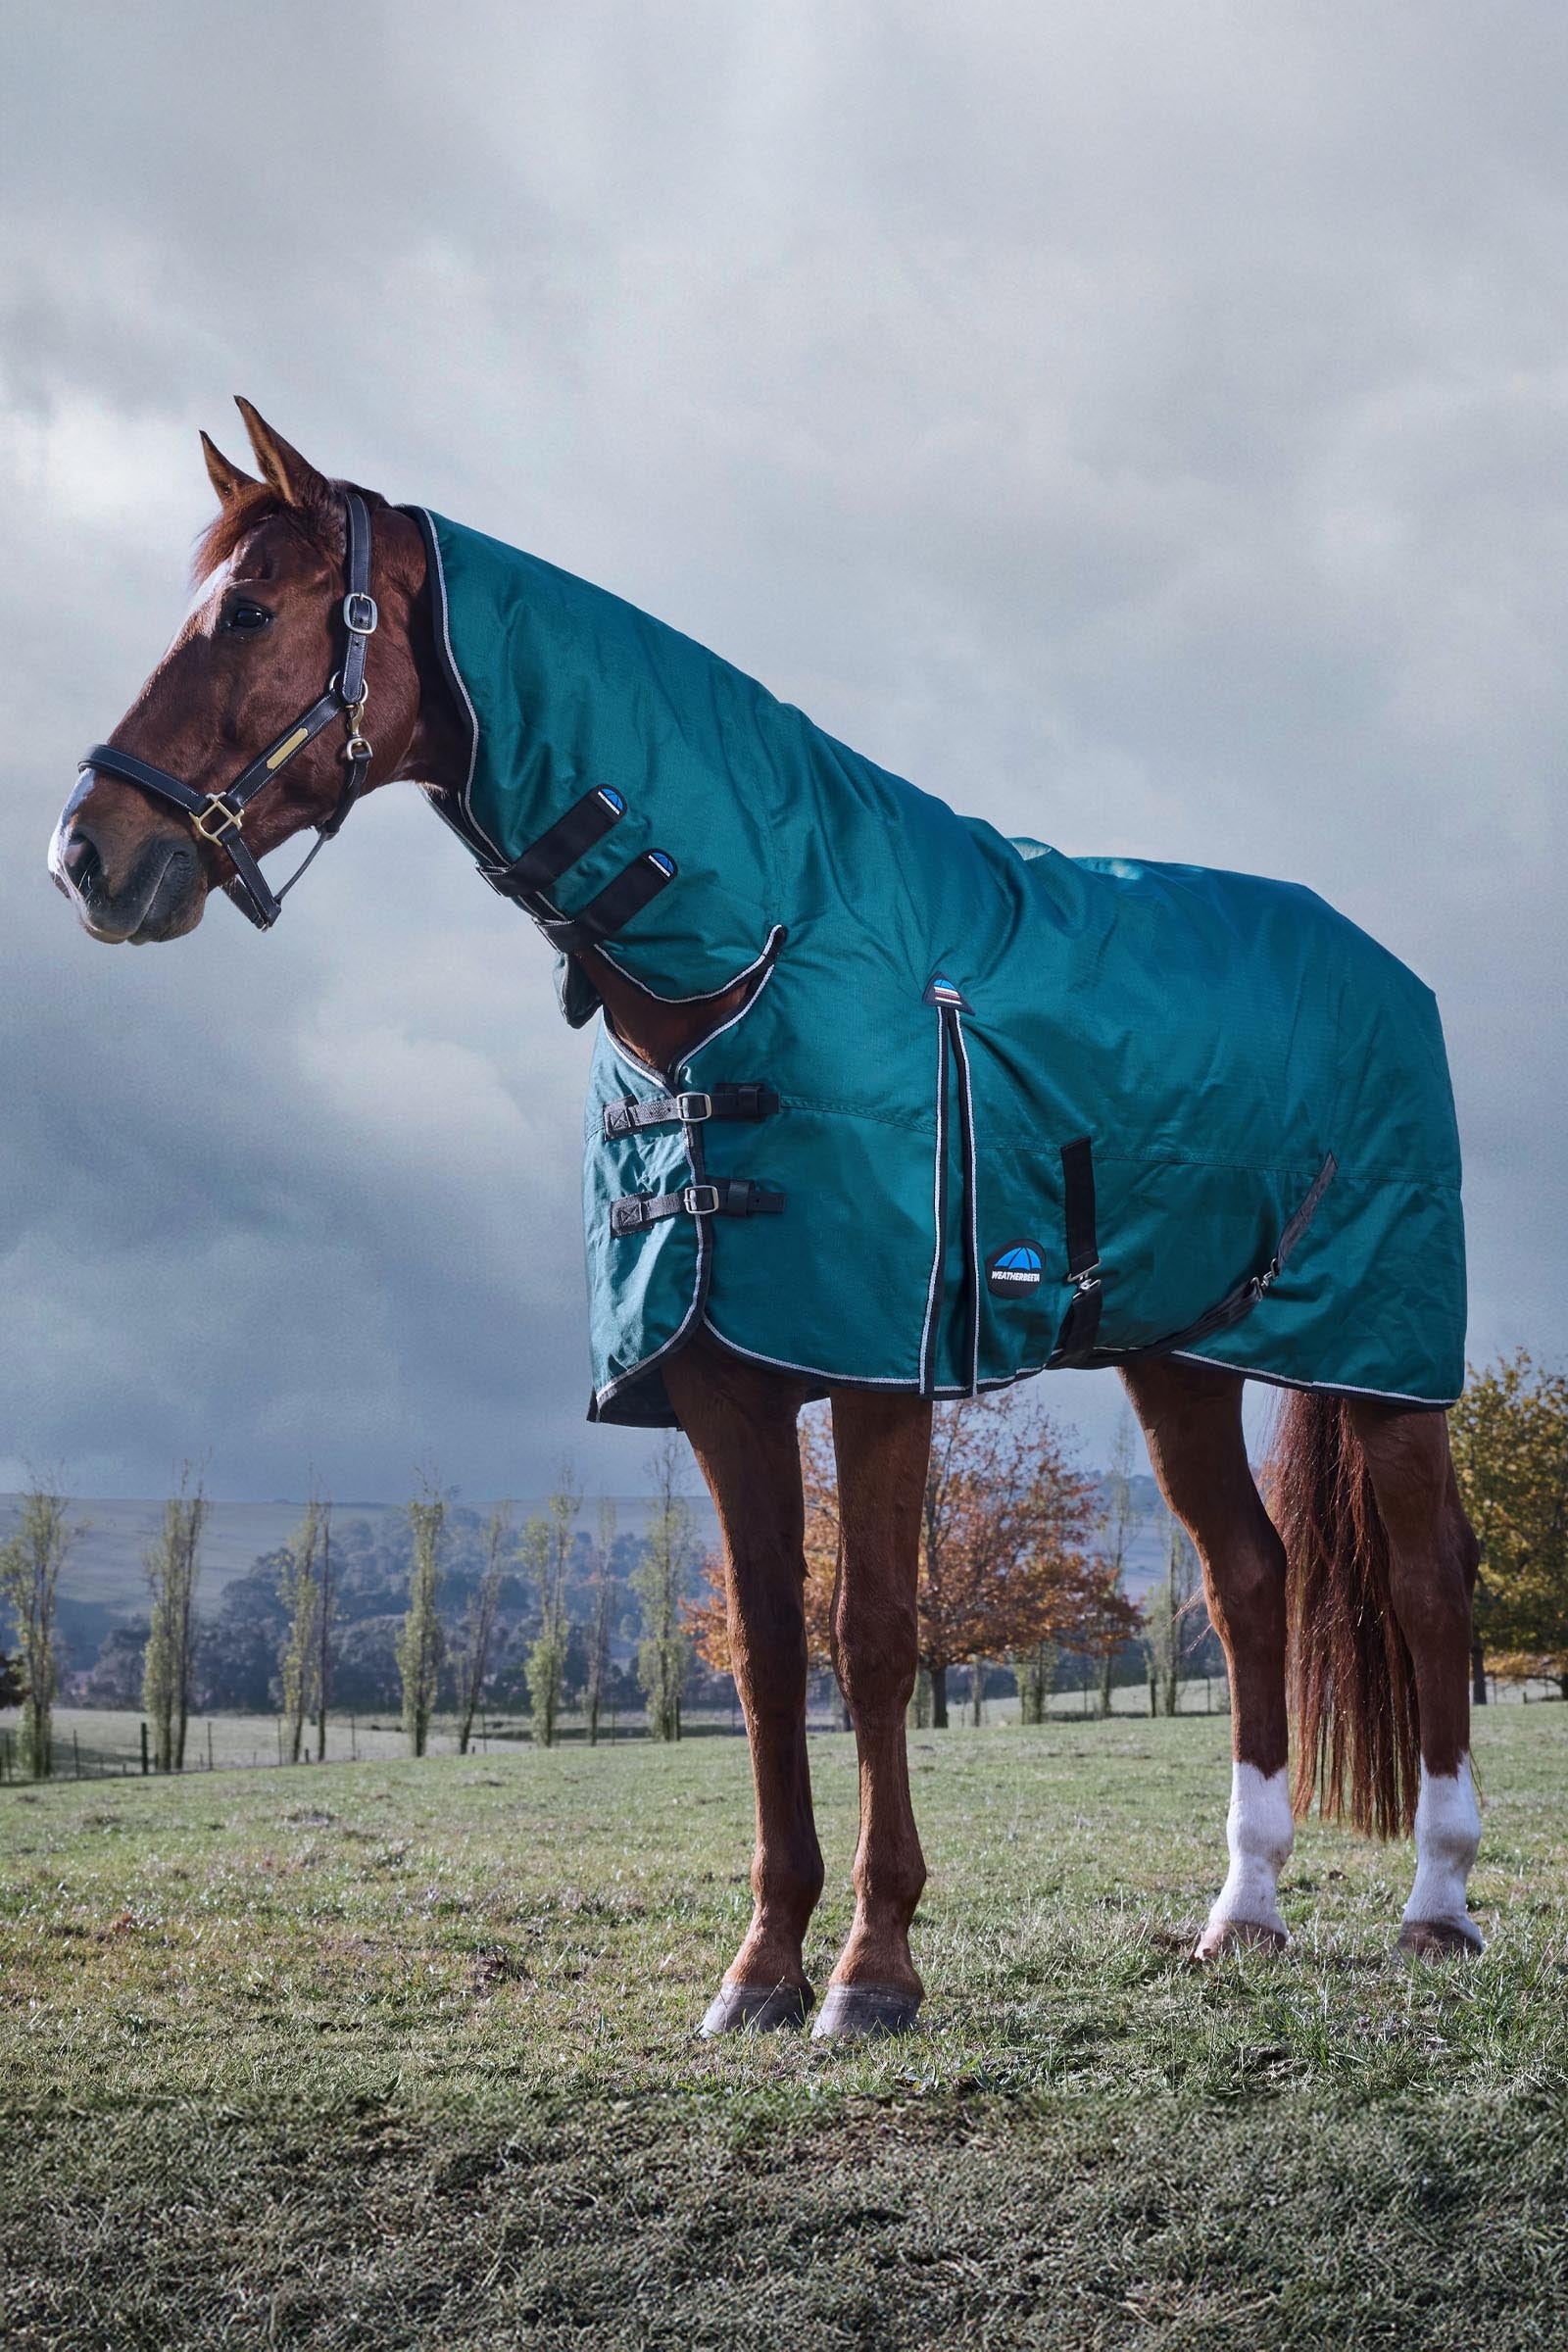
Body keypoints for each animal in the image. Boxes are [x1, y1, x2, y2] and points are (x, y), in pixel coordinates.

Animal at [51, 402, 1485, 2037]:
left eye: (246, 612)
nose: (86, 853)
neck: (759, 945)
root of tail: (1382, 963)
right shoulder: (723, 1388)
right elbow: (763, 1651)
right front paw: (763, 1967)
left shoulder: (877, 1371)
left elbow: (872, 1639)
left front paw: (873, 1969)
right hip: (1177, 1359)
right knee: (1252, 1582)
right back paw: (1241, 1915)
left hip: (1384, 1365)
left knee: (1430, 1590)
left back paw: (1439, 1908)